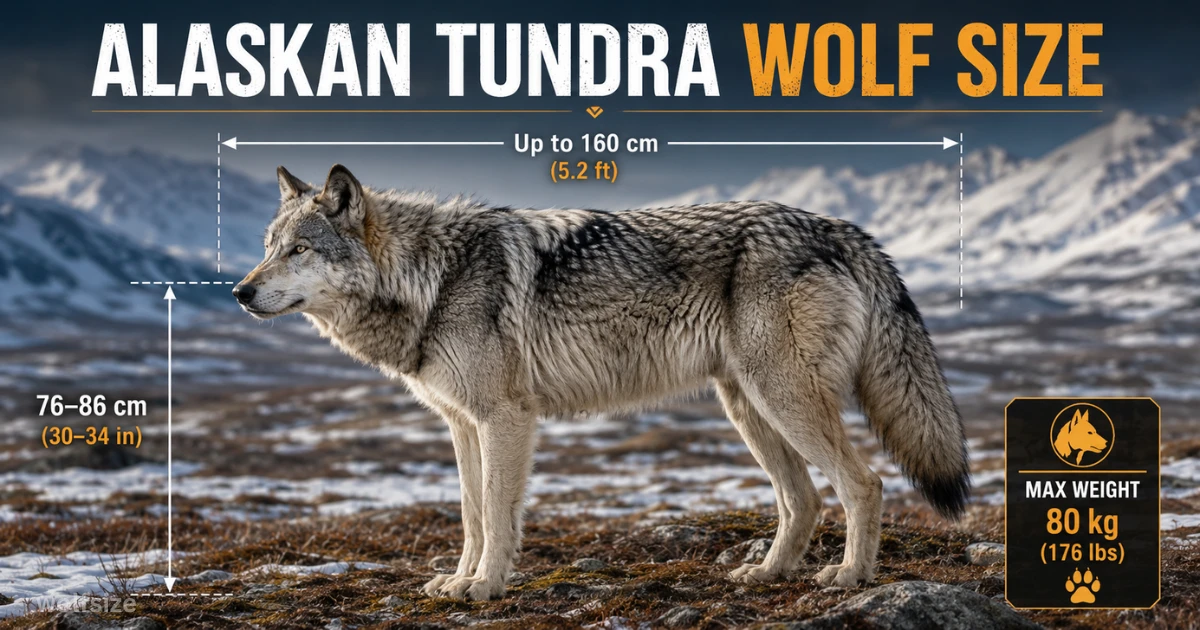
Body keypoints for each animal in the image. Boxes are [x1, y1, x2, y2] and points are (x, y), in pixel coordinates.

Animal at [234, 164, 970, 601]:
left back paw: (849, 576)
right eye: (268, 246)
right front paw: (458, 580)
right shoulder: (462, 425)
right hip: (749, 408)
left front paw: (486, 588)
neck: (430, 278)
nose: (239, 292)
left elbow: (496, 514)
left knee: (863, 484)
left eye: (299, 250)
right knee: (803, 500)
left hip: (783, 400)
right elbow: (471, 514)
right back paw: (766, 572)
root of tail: (840, 227)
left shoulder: (506, 419)